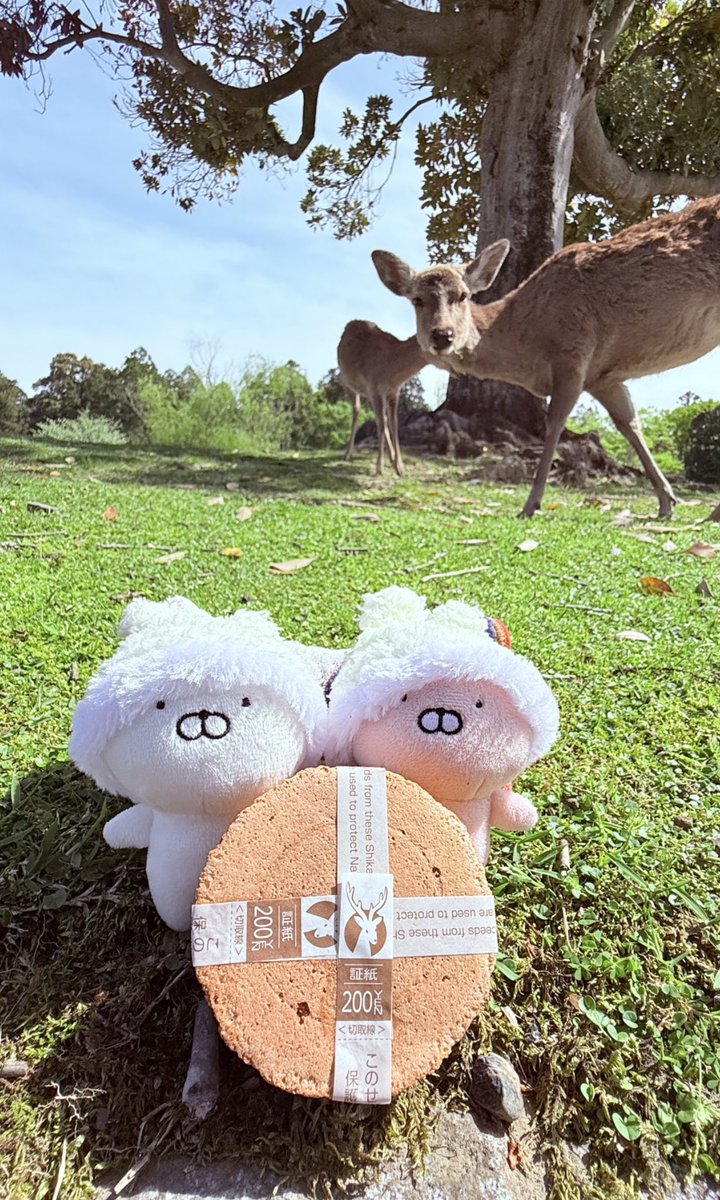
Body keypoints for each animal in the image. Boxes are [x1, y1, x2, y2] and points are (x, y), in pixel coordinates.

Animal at [337, 319, 427, 476]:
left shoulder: (393, 392)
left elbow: (393, 423)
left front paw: (400, 467)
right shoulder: (373, 387)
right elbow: (381, 424)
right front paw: (379, 468)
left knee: (381, 418)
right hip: (347, 383)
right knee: (357, 409)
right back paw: (348, 454)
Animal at [372, 195, 720, 518]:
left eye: (463, 295)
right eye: (417, 299)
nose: (442, 335)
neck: (529, 349)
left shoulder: (572, 352)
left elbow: (554, 425)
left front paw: (530, 504)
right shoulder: (604, 376)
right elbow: (629, 423)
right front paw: (666, 502)